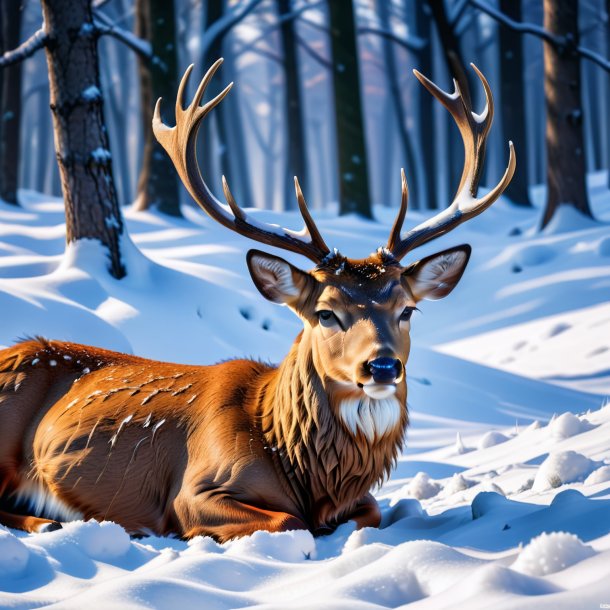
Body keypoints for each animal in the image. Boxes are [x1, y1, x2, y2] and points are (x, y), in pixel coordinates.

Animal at [0, 59, 512, 540]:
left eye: (408, 309)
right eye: (326, 314)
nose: (382, 366)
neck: (300, 466)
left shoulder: (359, 501)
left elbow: (370, 513)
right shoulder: (193, 490)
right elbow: (288, 519)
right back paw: (49, 522)